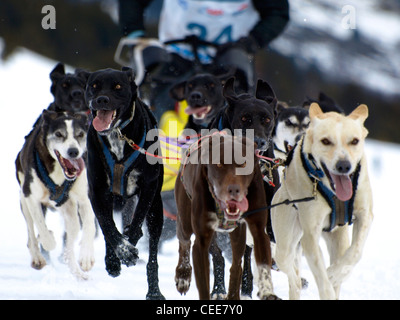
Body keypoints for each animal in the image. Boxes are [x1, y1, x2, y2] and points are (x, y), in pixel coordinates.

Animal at [85, 67, 165, 300]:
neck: (117, 135)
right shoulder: (97, 190)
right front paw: (118, 255)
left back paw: (154, 292)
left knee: (152, 255)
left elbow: (136, 224)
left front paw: (129, 244)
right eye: (94, 86)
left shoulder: (149, 187)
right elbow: (108, 228)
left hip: (157, 210)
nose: (101, 99)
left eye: (118, 87)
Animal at [175, 132, 278, 300]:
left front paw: (268, 292)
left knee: (236, 264)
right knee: (184, 241)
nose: (234, 190)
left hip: (238, 236)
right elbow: (203, 284)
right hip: (185, 219)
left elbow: (263, 265)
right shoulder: (201, 241)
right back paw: (183, 275)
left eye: (244, 164)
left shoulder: (258, 229)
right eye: (218, 165)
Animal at [270, 103, 374, 300]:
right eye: (326, 141)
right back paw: (297, 282)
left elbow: (355, 252)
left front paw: (336, 273)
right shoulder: (310, 234)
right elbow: (323, 281)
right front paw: (329, 278)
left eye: (354, 141)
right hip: (285, 243)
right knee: (291, 273)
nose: (344, 165)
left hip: (338, 239)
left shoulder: (365, 215)